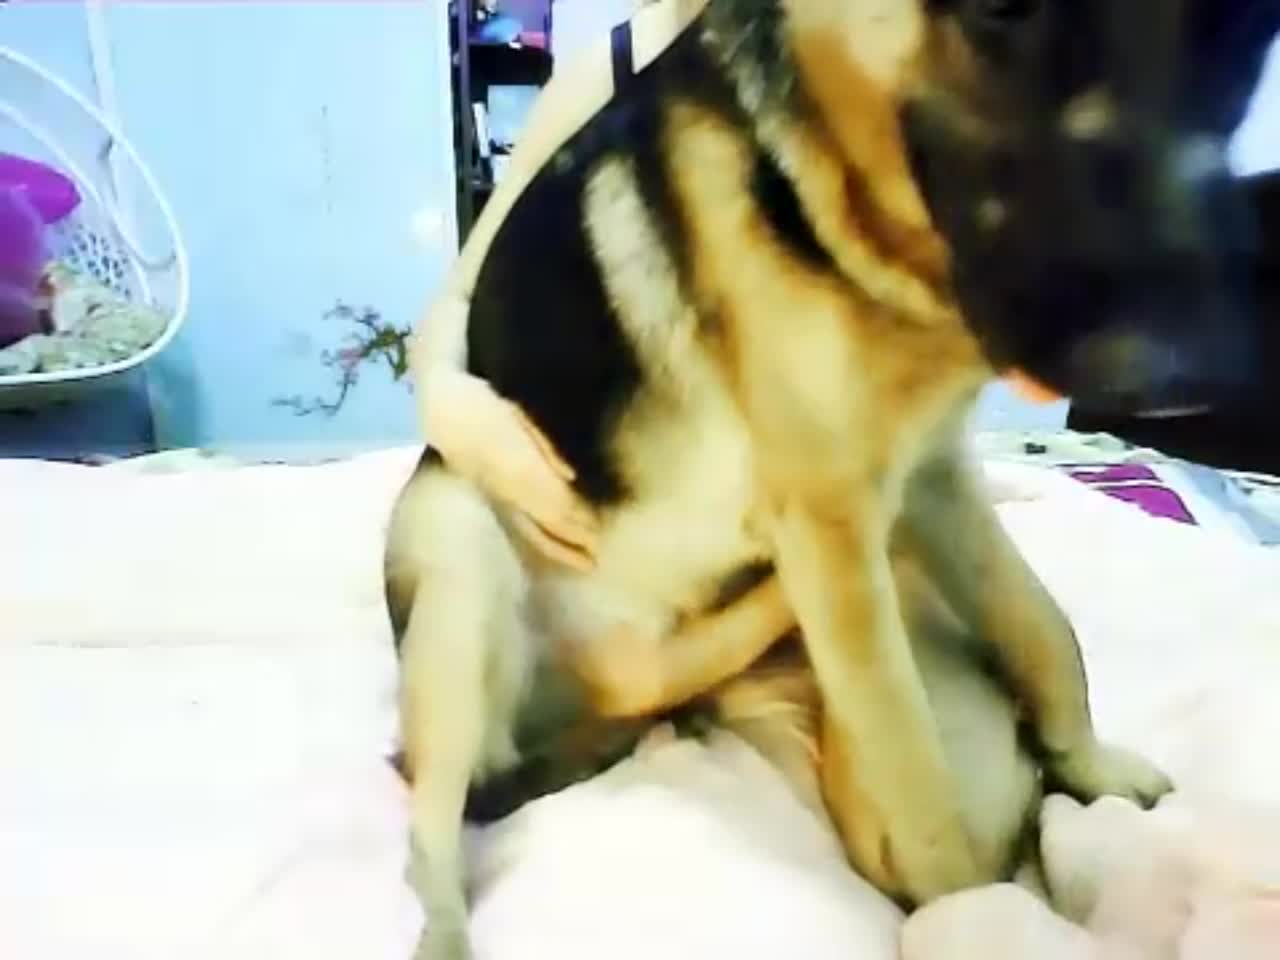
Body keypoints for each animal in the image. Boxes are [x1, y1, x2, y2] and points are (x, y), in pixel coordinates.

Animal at [386, 2, 1277, 956]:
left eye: (1243, 33)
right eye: (999, 14)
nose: (1180, 381)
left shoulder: (932, 472)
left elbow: (1041, 628)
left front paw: (1090, 764)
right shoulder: (835, 526)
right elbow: (914, 773)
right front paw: (974, 915)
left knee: (647, 680)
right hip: (457, 536)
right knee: (433, 827)